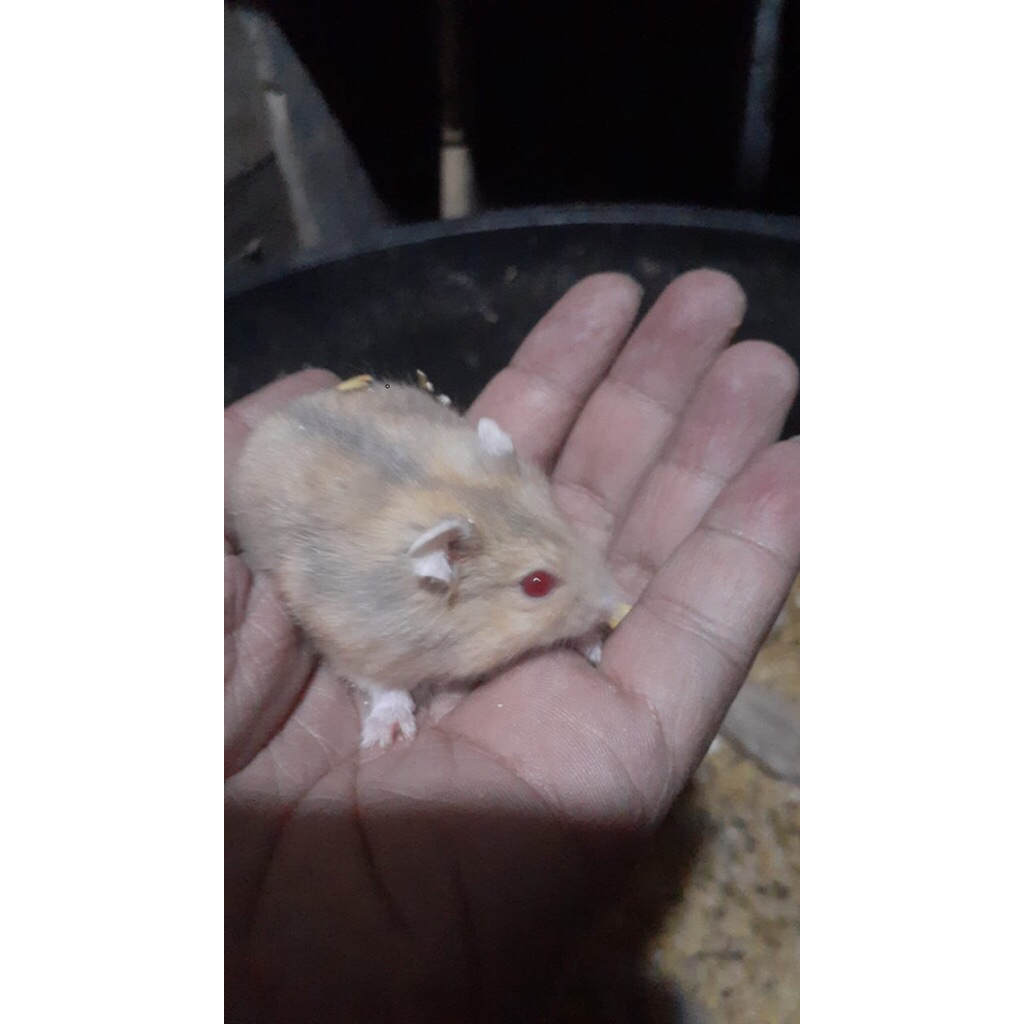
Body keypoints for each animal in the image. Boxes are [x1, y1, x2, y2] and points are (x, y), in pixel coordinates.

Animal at [229, 379, 622, 748]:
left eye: (566, 524)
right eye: (537, 584)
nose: (616, 604)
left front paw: (594, 645)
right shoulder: (347, 638)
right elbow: (382, 684)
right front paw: (386, 735)